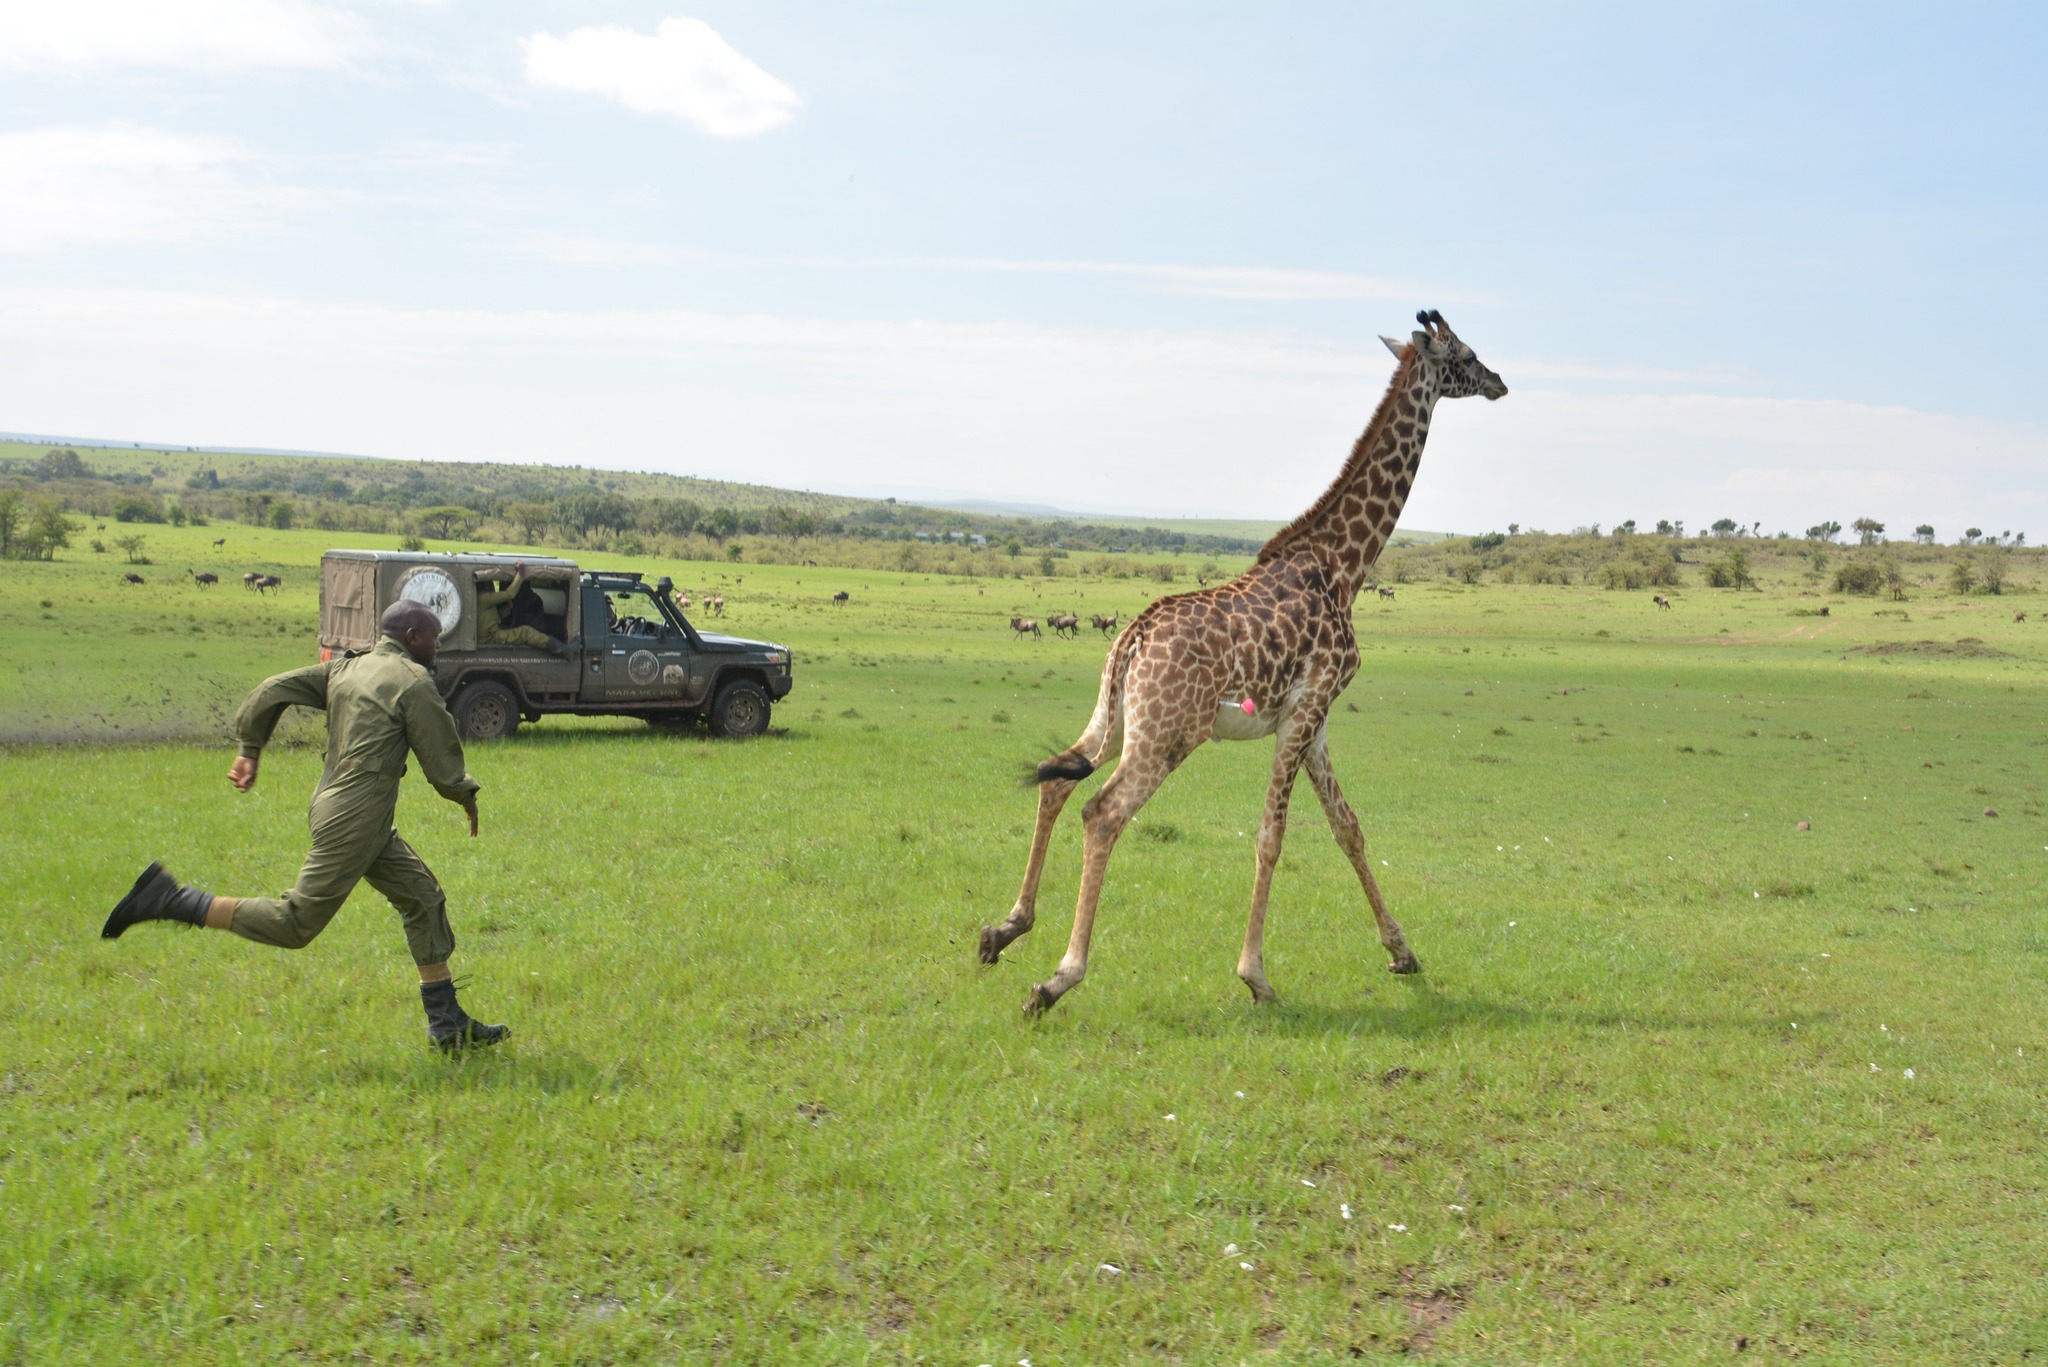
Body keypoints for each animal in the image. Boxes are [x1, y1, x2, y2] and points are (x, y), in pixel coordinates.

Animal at [979, 310, 1507, 1015]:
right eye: (1467, 355)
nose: (1500, 381)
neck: (1345, 566)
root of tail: (1132, 638)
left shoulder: (1314, 717)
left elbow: (1348, 827)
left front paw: (1403, 952)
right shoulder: (1306, 710)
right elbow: (1272, 836)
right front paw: (1256, 975)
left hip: (1117, 716)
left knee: (1058, 779)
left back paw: (1004, 928)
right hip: (1170, 732)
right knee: (1103, 812)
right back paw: (1060, 976)